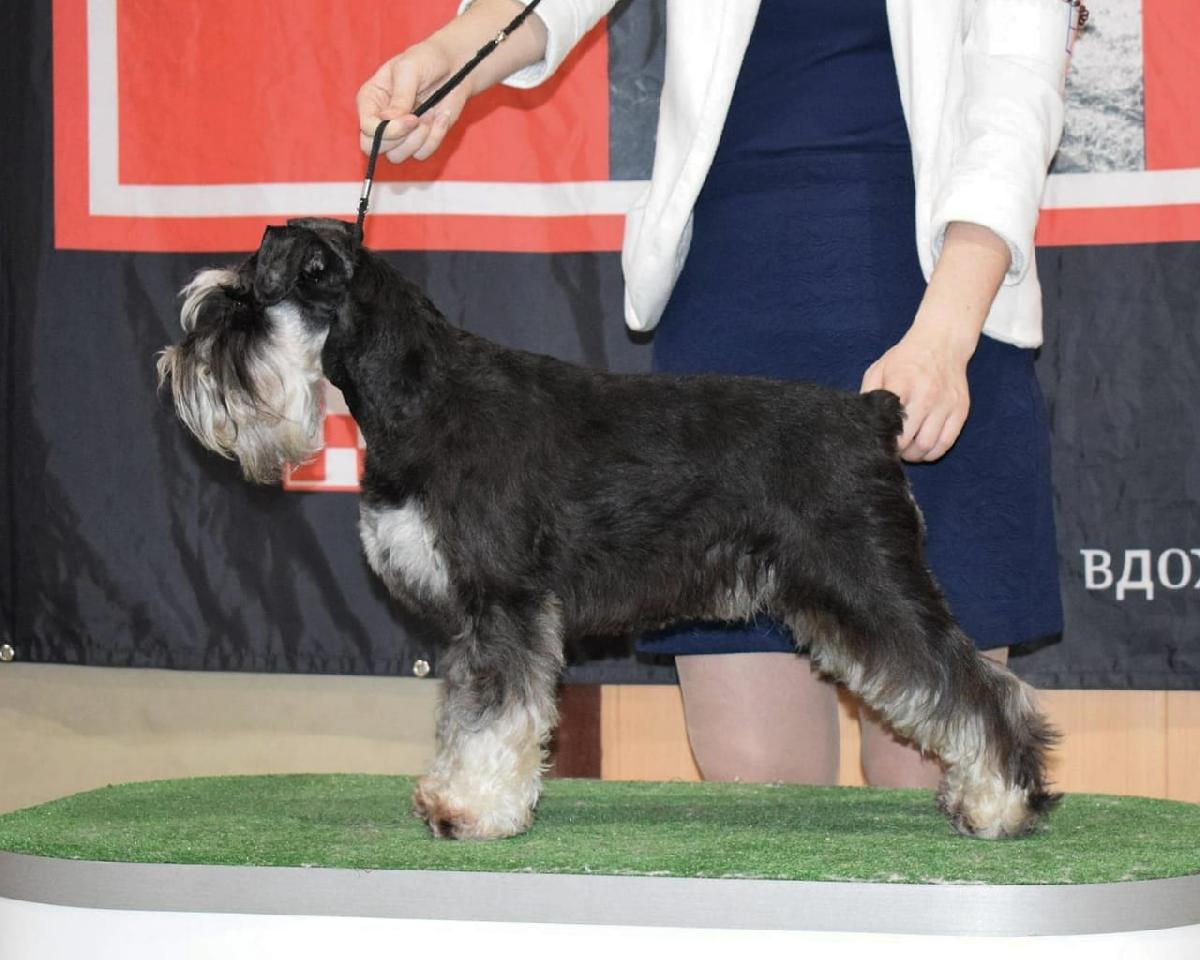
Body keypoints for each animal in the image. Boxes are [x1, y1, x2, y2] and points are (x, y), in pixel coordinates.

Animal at [157, 217, 1059, 841]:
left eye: (241, 305)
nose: (175, 366)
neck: (420, 395)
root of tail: (873, 412)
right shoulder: (474, 621)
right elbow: (464, 711)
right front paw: (450, 792)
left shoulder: (506, 603)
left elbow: (496, 714)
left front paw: (473, 809)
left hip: (871, 585)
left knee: (983, 686)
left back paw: (1002, 804)